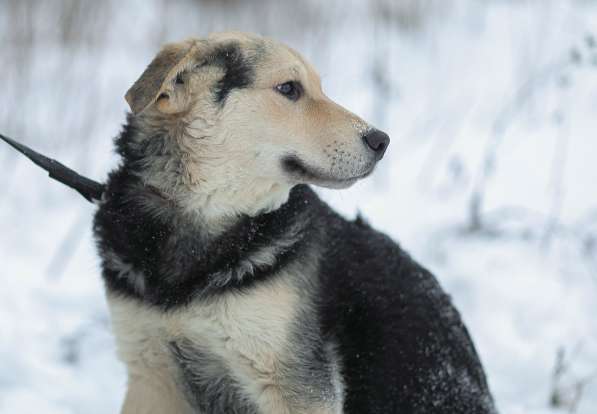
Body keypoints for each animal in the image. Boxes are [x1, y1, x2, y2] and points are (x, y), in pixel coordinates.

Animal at [89, 30, 494, 412]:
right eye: (289, 89)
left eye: (319, 88)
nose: (381, 141)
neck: (206, 216)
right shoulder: (151, 370)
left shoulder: (297, 386)